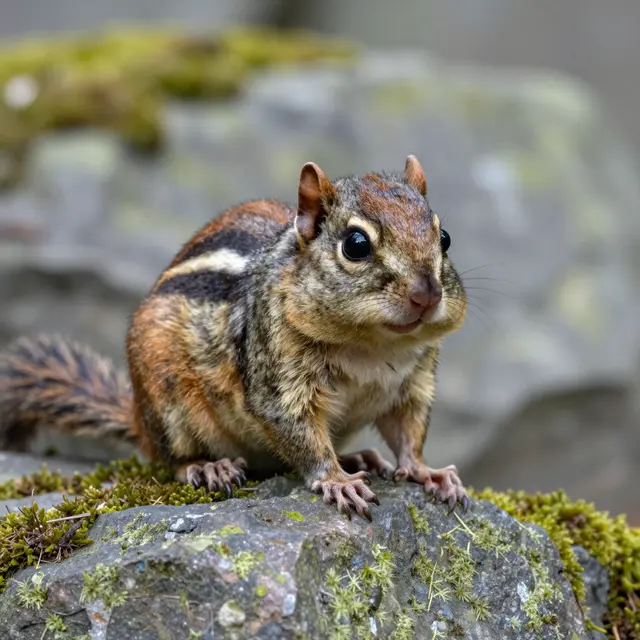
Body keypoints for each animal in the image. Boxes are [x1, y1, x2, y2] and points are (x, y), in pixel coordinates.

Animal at [0, 155, 468, 521]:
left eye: (444, 238)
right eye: (355, 245)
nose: (427, 294)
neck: (373, 346)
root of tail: (137, 416)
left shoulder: (413, 384)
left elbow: (408, 433)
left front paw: (428, 472)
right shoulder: (279, 381)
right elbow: (301, 435)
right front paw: (336, 480)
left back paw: (360, 456)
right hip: (167, 403)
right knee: (168, 458)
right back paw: (209, 468)